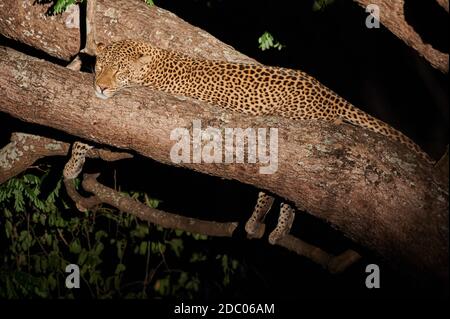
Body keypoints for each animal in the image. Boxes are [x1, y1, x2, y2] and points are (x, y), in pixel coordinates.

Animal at [91, 40, 432, 249]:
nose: (100, 87)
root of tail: (328, 94)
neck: (154, 63)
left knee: (276, 187)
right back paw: (279, 229)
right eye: (98, 66)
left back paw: (257, 221)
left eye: (118, 70)